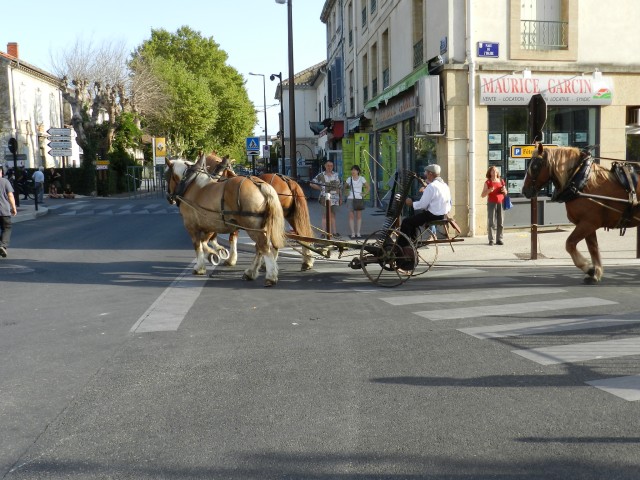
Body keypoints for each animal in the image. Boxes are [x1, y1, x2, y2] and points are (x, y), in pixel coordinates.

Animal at [168, 154, 462, 286]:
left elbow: (202, 245)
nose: (171, 197)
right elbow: (216, 240)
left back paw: (269, 274)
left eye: (170, 175)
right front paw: (221, 256)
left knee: (267, 247)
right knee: (272, 245)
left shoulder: (198, 225)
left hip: (254, 223)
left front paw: (208, 261)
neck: (195, 186)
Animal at [524, 144, 636, 284]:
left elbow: (570, 244)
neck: (583, 180)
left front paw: (589, 269)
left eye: (534, 166)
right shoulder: (588, 224)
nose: (524, 190)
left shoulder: (588, 223)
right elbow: (593, 248)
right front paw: (595, 273)